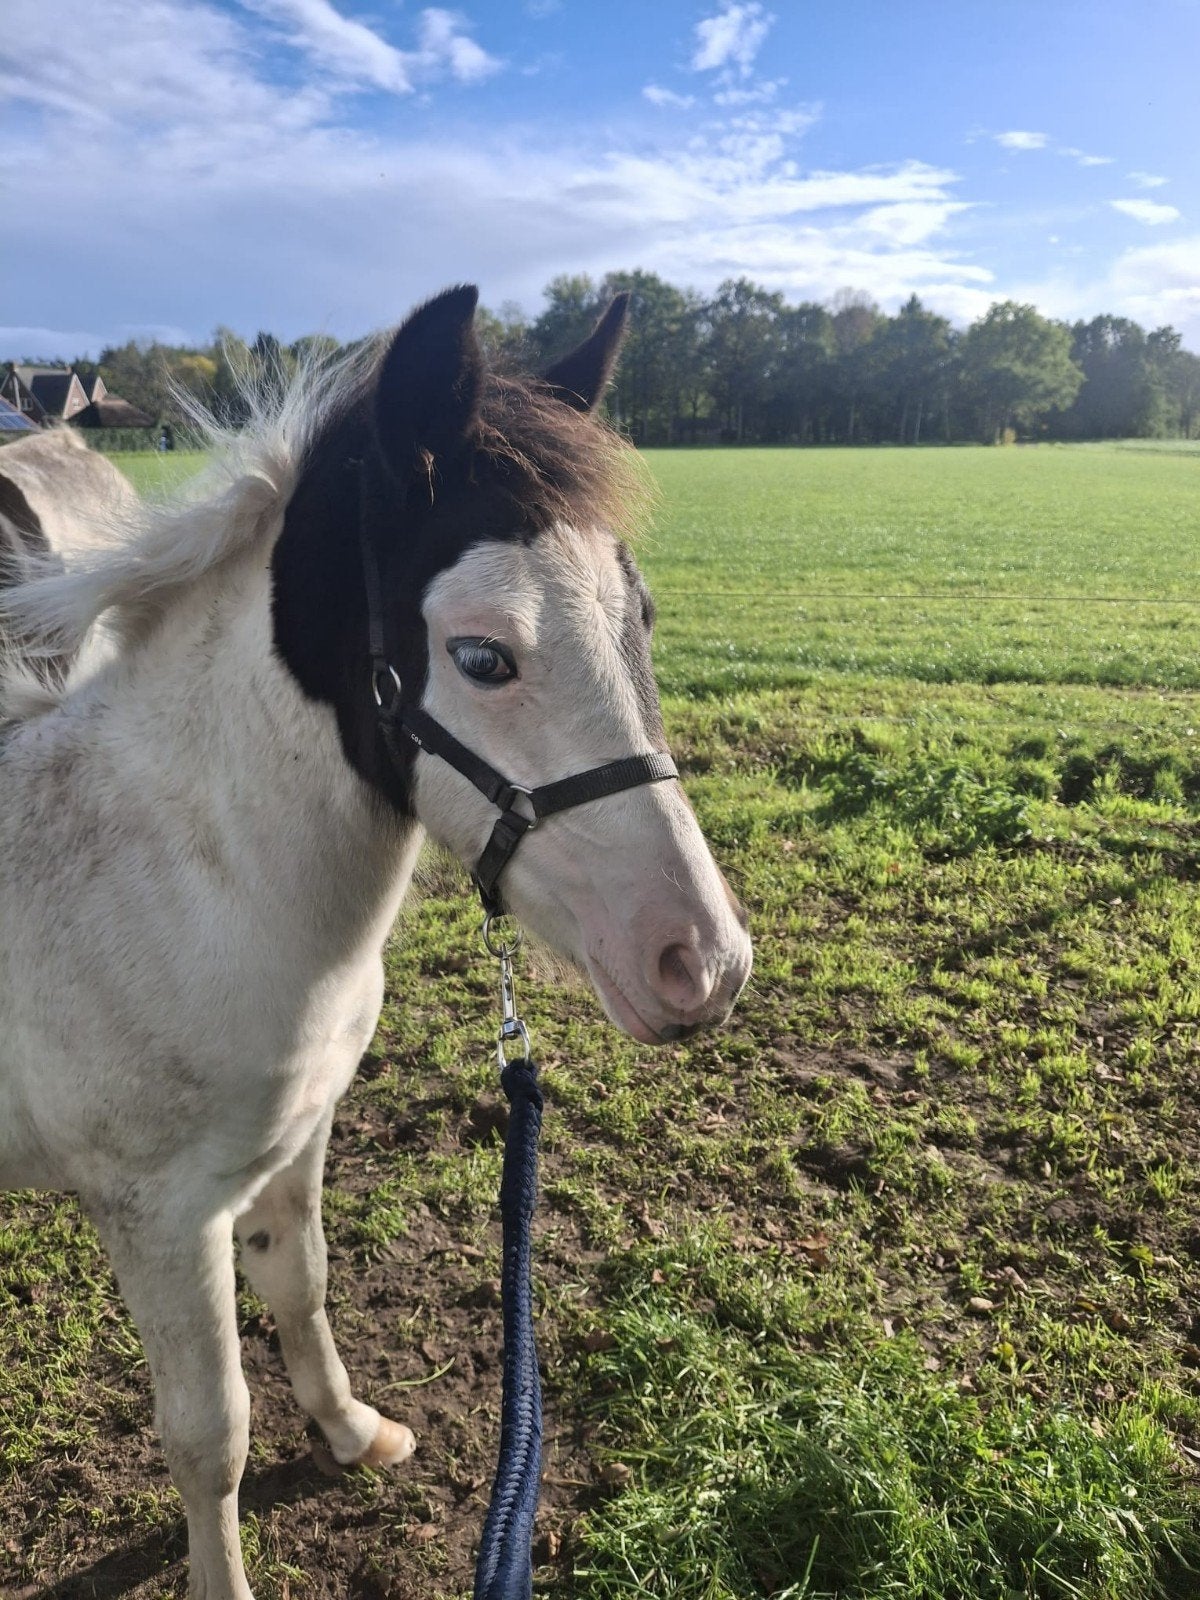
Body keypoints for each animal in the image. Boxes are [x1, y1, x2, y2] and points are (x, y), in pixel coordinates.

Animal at [0, 286, 752, 1598]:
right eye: (484, 655)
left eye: (643, 618)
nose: (702, 965)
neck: (189, 875)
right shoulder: (156, 1215)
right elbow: (209, 1435)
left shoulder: (293, 1141)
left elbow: (304, 1286)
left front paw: (353, 1434)